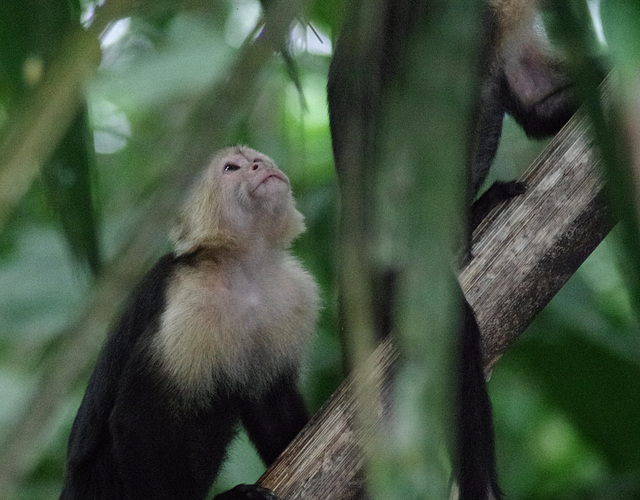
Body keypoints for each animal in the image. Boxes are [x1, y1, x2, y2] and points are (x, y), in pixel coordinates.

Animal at [60, 146, 320, 500]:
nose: (259, 166)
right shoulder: (189, 306)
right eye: (231, 168)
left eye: (259, 158)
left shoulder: (295, 295)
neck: (243, 271)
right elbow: (137, 420)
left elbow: (271, 400)